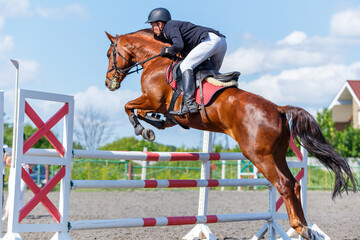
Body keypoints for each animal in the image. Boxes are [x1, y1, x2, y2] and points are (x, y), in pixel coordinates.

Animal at [104, 28, 358, 238]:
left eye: (109, 54)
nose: (109, 84)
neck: (156, 61)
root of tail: (278, 108)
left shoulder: (153, 99)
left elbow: (129, 106)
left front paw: (143, 128)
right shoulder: (158, 106)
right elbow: (143, 112)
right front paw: (152, 124)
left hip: (258, 155)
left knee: (284, 184)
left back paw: (300, 227)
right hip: (277, 154)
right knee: (294, 185)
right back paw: (306, 227)